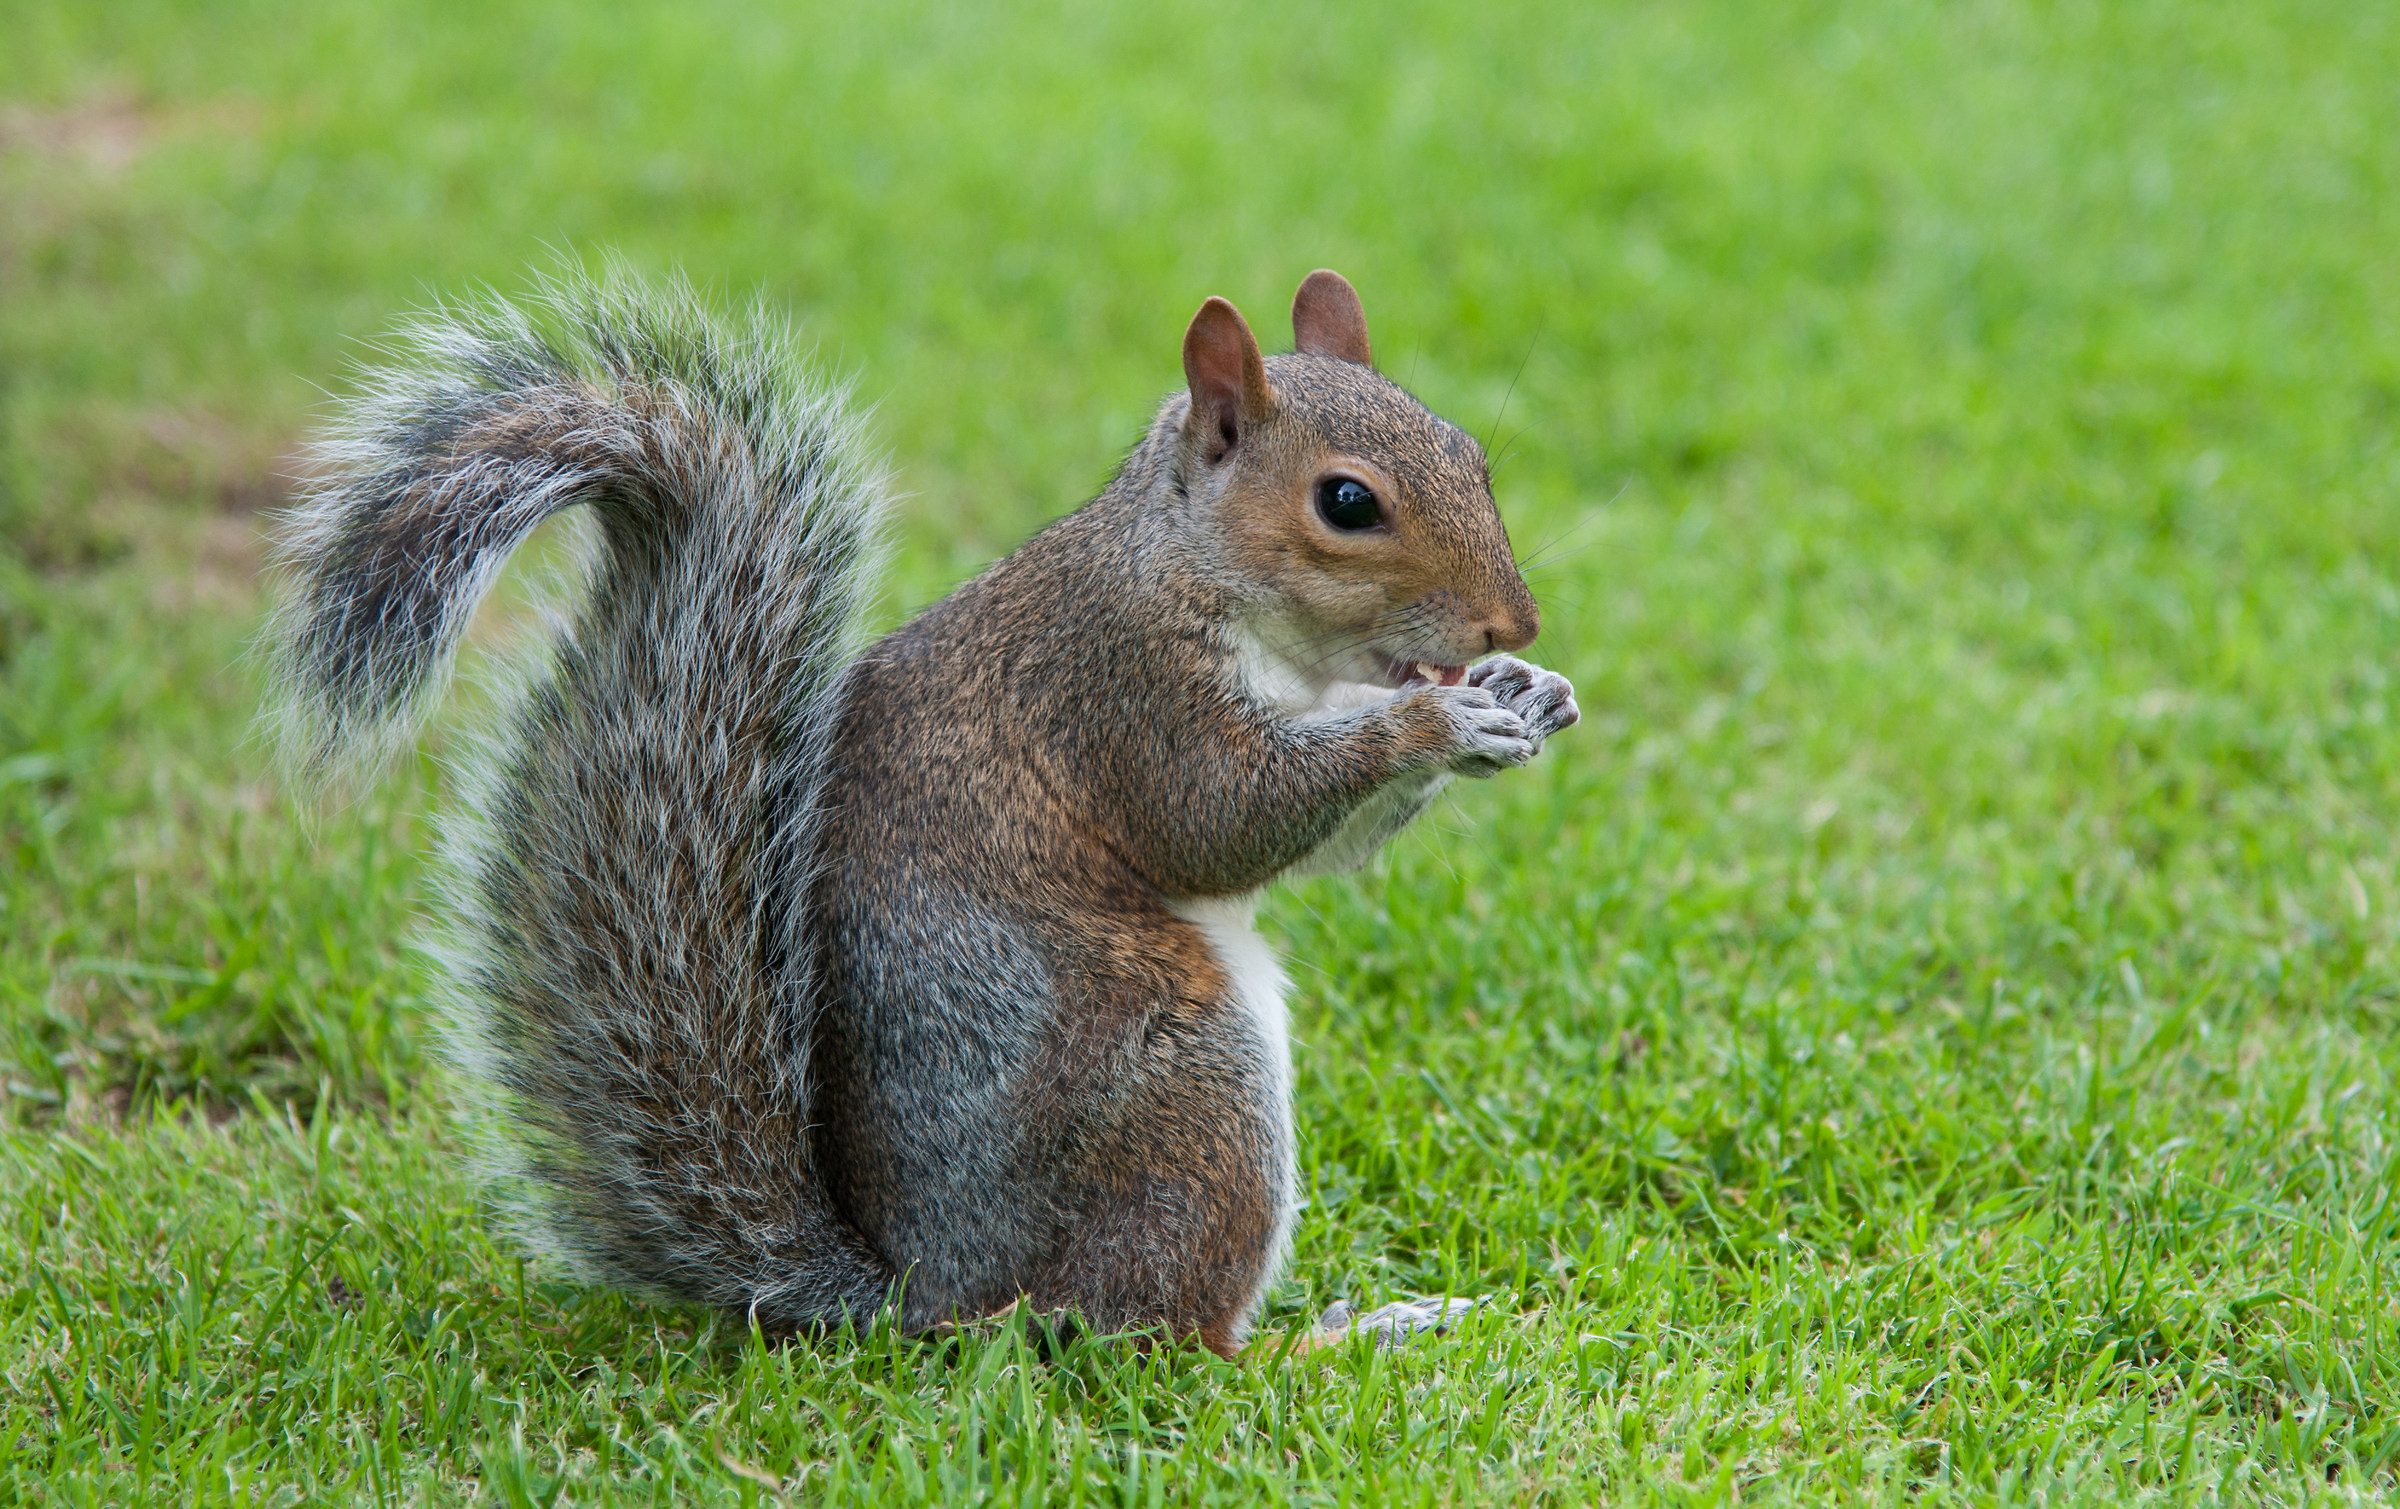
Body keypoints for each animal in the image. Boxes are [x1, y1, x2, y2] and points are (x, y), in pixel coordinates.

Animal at [268, 265, 1578, 1356]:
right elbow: (1220, 818)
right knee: (1157, 1345)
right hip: (1181, 1089)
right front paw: (1437, 722)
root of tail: (930, 1299)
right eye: (1346, 502)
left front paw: (1523, 694)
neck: (1204, 576)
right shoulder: (1121, 689)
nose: (1513, 623)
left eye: (1472, 454)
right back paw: (1339, 1342)